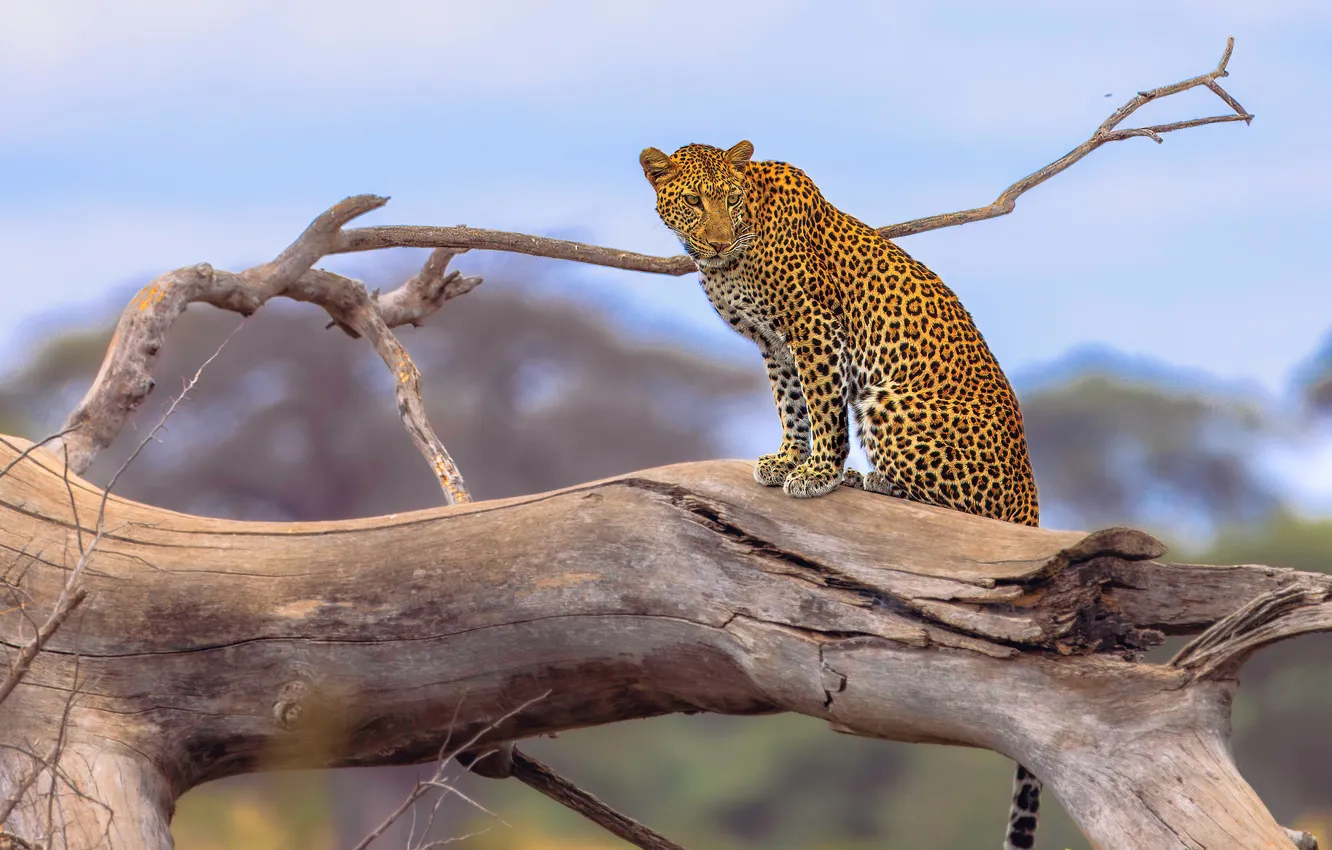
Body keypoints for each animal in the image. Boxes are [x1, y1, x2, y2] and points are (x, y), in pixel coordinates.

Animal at [640, 140, 1042, 850]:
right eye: (691, 202)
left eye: (727, 200)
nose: (713, 239)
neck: (736, 251)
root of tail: (1030, 496)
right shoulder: (774, 344)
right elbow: (792, 405)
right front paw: (787, 459)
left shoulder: (811, 330)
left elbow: (823, 406)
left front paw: (821, 472)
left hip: (892, 404)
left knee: (957, 512)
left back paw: (870, 479)